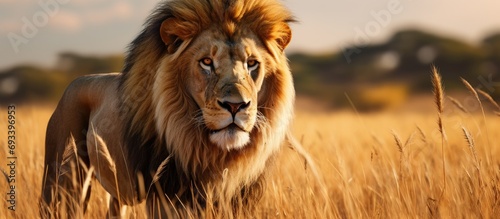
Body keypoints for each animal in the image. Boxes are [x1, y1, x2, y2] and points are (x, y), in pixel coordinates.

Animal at [41, 0, 294, 217]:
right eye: (206, 62)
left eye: (252, 64)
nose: (235, 105)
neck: (214, 156)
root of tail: (75, 81)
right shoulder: (166, 196)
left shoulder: (241, 198)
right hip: (62, 180)